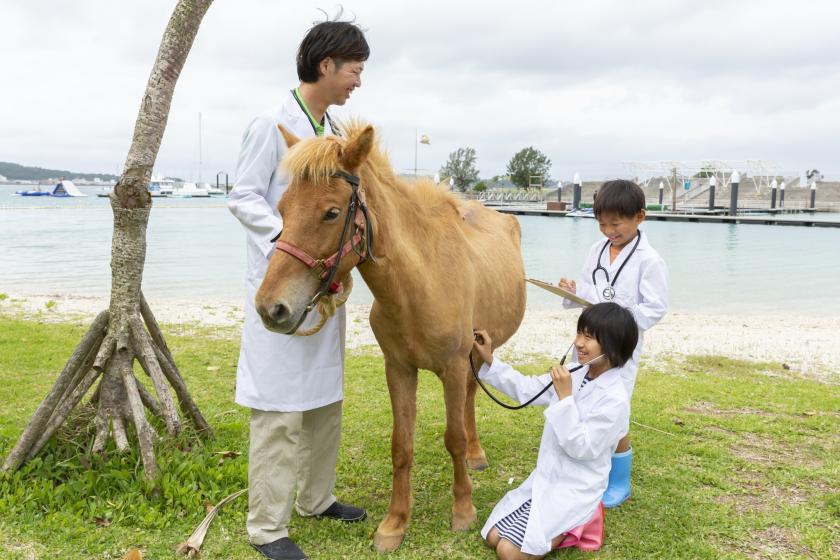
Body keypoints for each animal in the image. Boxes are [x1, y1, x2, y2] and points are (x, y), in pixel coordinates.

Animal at [256, 122, 524, 552]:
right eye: (281, 209)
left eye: (332, 213)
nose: (271, 308)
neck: (422, 281)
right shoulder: (398, 369)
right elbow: (401, 446)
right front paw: (395, 523)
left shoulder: (453, 367)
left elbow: (453, 438)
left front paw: (462, 510)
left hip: (480, 353)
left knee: (469, 400)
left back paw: (475, 454)